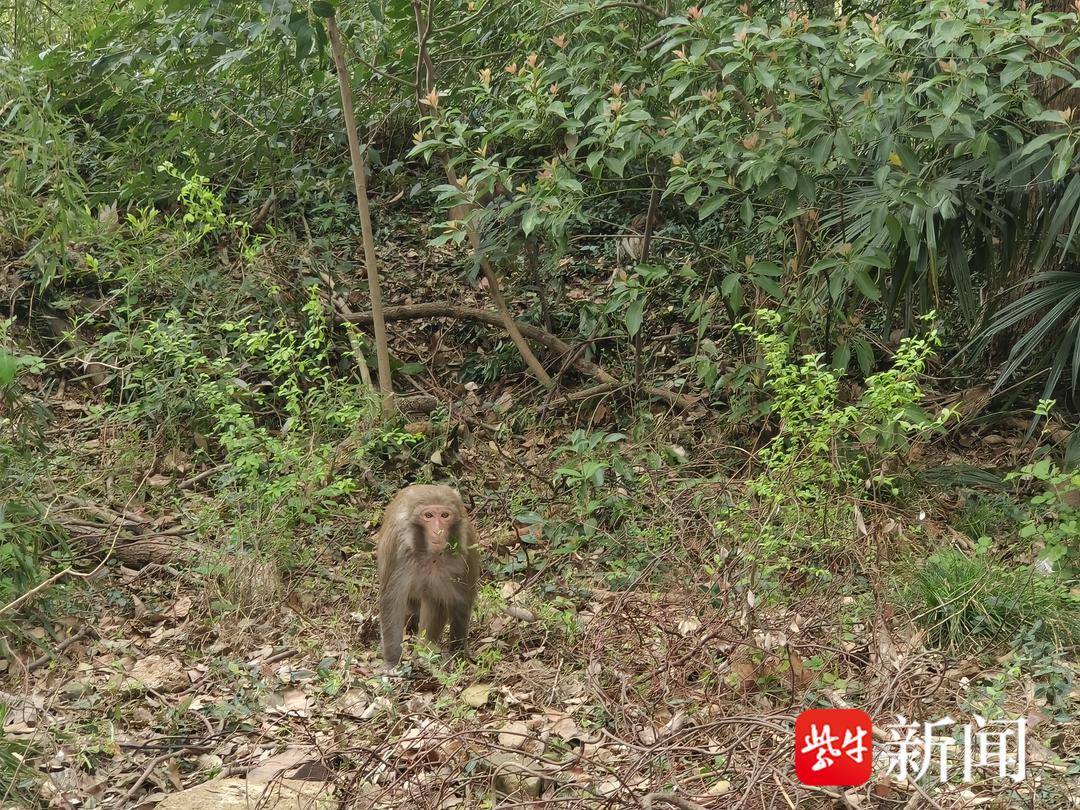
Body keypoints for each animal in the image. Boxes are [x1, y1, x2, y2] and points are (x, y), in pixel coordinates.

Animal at [380, 488, 481, 665]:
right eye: (428, 515)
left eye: (444, 515)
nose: (438, 529)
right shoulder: (399, 551)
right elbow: (392, 601)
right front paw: (392, 661)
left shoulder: (463, 549)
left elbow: (460, 600)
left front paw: (458, 652)